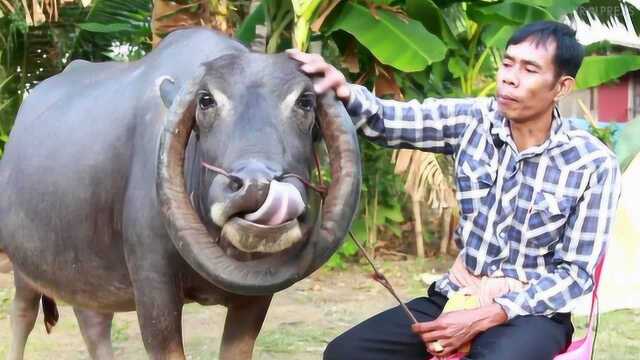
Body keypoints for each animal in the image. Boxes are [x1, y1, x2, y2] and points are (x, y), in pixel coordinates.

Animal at [0, 28, 360, 360]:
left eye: (305, 101)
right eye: (206, 100)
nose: (257, 184)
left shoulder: (256, 300)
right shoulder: (153, 286)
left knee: (93, 322)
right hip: (24, 266)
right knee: (23, 314)